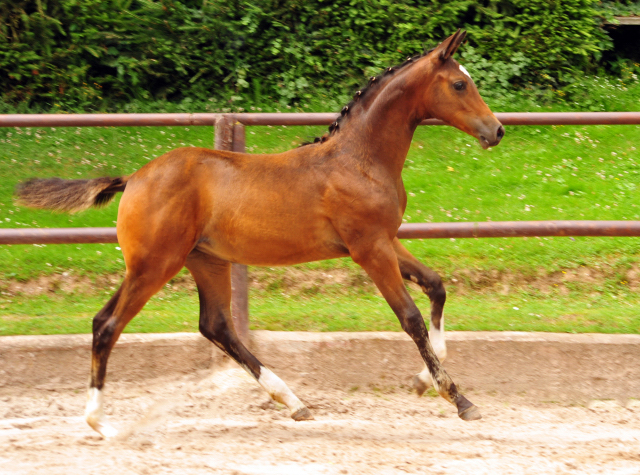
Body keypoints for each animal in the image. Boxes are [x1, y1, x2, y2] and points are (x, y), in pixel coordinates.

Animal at [16, 30, 504, 438]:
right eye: (459, 85)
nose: (496, 130)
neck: (358, 159)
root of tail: (133, 178)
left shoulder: (385, 240)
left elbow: (436, 287)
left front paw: (424, 382)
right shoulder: (368, 249)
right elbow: (411, 318)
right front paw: (458, 398)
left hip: (202, 260)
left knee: (214, 325)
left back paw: (293, 402)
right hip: (155, 264)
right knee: (108, 324)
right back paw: (99, 422)